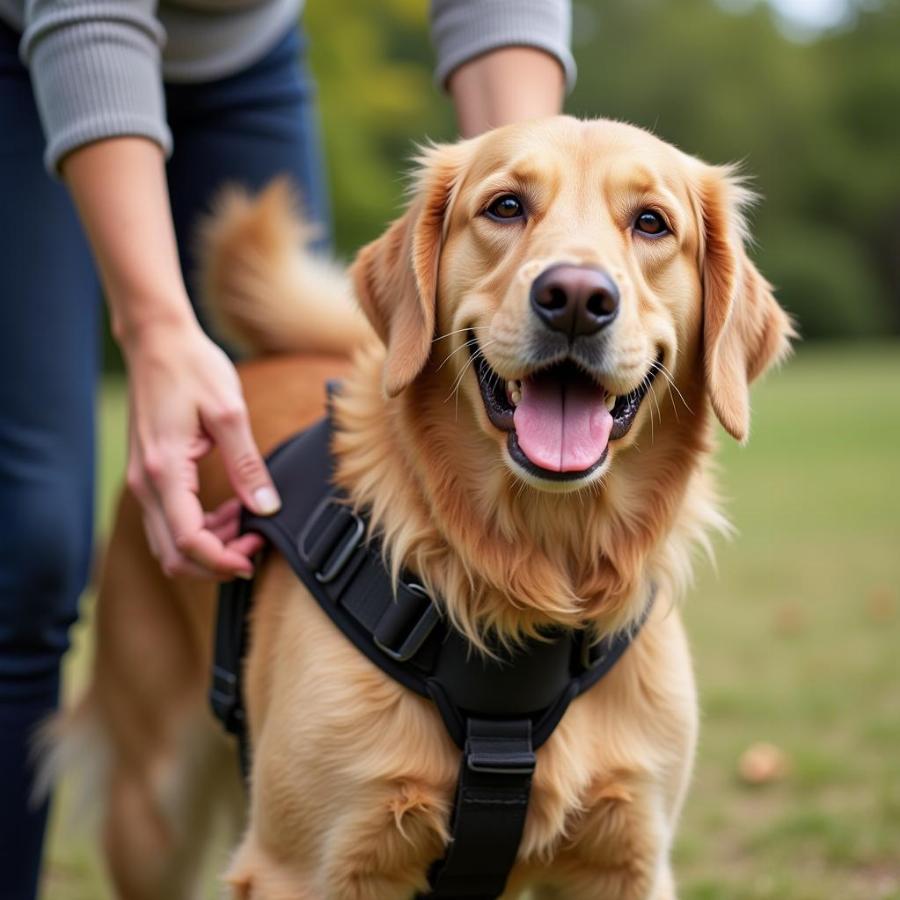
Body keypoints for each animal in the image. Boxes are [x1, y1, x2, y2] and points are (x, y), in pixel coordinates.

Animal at [45, 119, 796, 900]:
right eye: (505, 206)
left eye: (652, 223)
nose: (576, 297)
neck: (534, 566)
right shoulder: (302, 865)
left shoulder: (627, 860)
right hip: (153, 804)